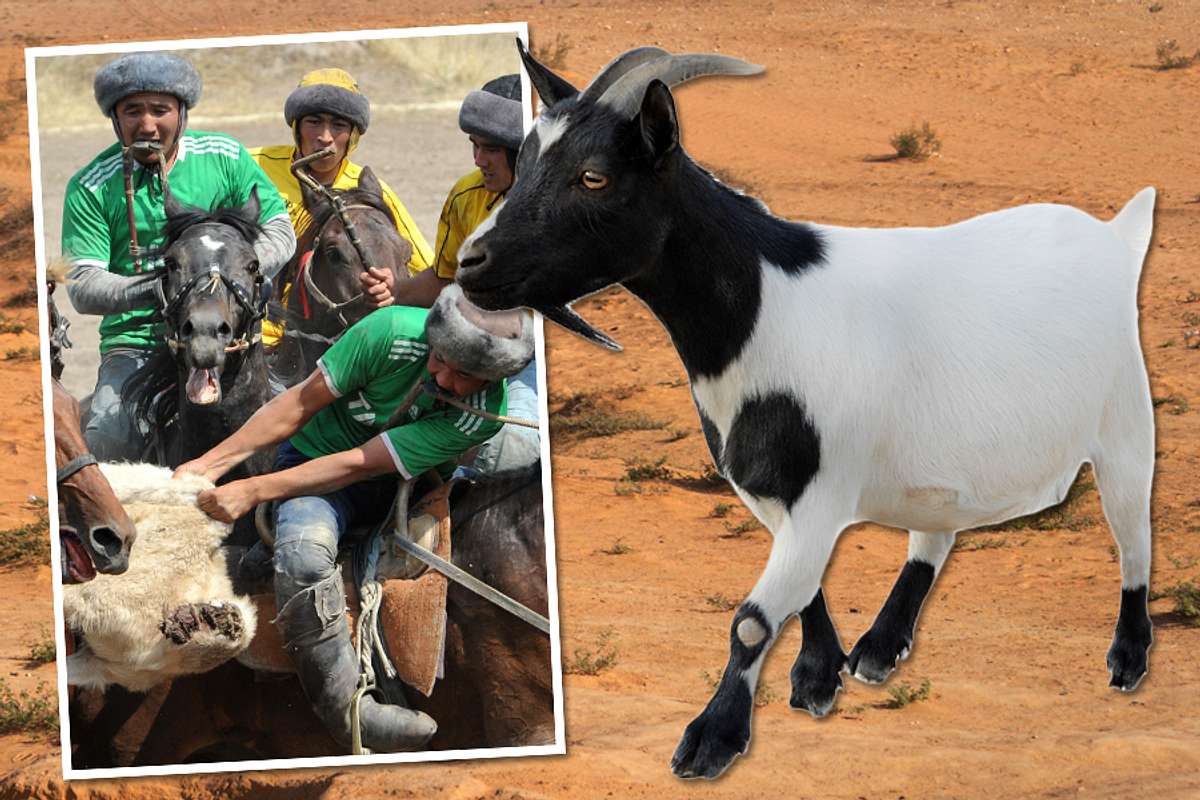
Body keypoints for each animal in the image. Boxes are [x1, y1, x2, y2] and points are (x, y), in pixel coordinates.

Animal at [453, 43, 1156, 782]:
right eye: (524, 162)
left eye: (593, 176)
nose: (472, 263)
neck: (767, 307)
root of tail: (1116, 236)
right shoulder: (771, 489)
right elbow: (808, 590)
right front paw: (818, 677)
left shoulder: (822, 486)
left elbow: (751, 619)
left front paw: (711, 739)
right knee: (935, 531)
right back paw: (879, 647)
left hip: (1124, 419)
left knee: (1132, 532)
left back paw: (1127, 657)